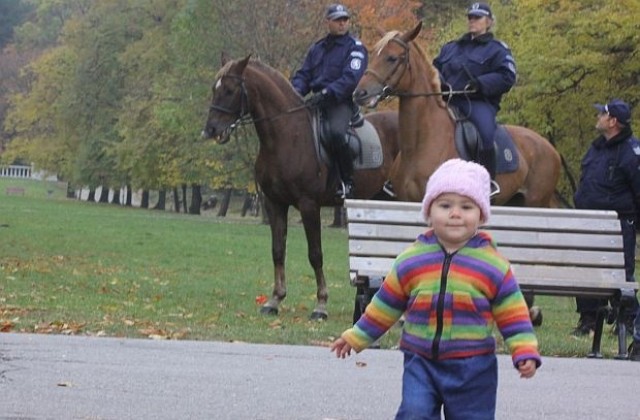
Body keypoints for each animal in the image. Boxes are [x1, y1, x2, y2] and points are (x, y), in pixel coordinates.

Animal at [202, 55, 398, 318]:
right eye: (214, 89)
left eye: (230, 90)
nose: (211, 130)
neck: (286, 134)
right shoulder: (274, 203)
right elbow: (277, 250)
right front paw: (275, 299)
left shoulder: (308, 205)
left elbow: (315, 254)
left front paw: (321, 304)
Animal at [350, 22, 560, 206]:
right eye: (372, 55)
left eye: (392, 58)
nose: (359, 94)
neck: (419, 145)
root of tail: (550, 147)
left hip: (535, 203)